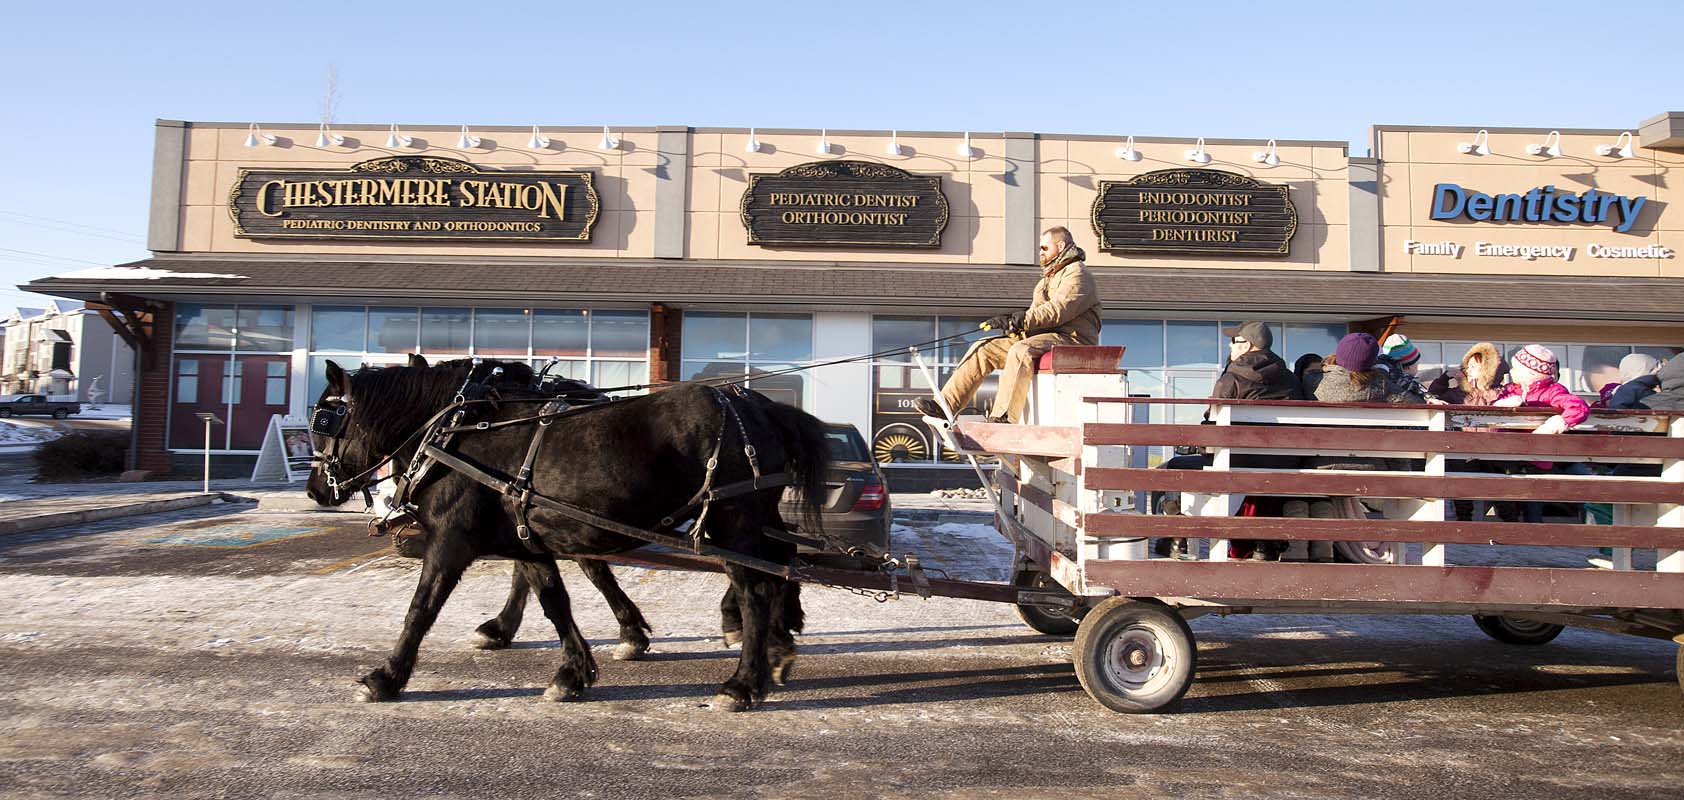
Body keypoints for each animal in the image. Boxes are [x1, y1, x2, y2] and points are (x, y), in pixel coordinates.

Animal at [306, 360, 831, 710]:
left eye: (325, 422)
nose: (315, 489)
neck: (460, 433)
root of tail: (757, 404)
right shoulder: (527, 533)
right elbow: (554, 597)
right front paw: (573, 670)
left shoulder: (451, 541)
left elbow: (421, 608)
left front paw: (385, 676)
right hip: (752, 517)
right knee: (782, 561)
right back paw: (778, 647)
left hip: (732, 519)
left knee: (755, 587)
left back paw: (743, 682)